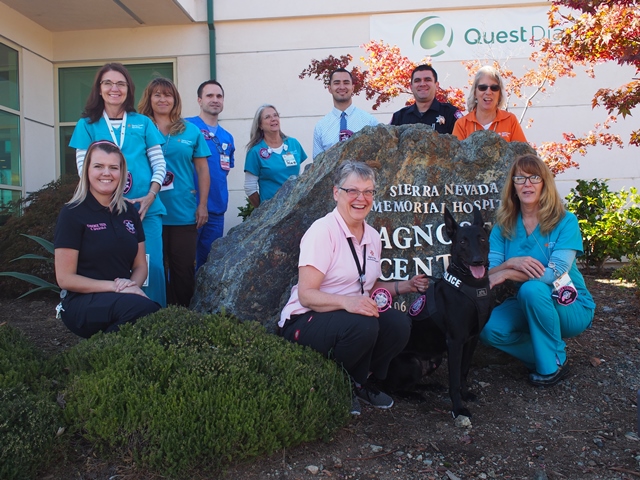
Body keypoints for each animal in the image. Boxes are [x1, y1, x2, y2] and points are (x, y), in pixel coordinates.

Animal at [382, 208, 492, 418]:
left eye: (482, 239)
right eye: (462, 242)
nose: (478, 261)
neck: (471, 286)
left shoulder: (472, 338)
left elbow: (464, 370)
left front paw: (465, 394)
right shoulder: (455, 341)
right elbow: (454, 380)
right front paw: (458, 408)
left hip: (437, 358)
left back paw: (429, 386)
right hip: (413, 362)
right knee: (392, 388)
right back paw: (414, 395)